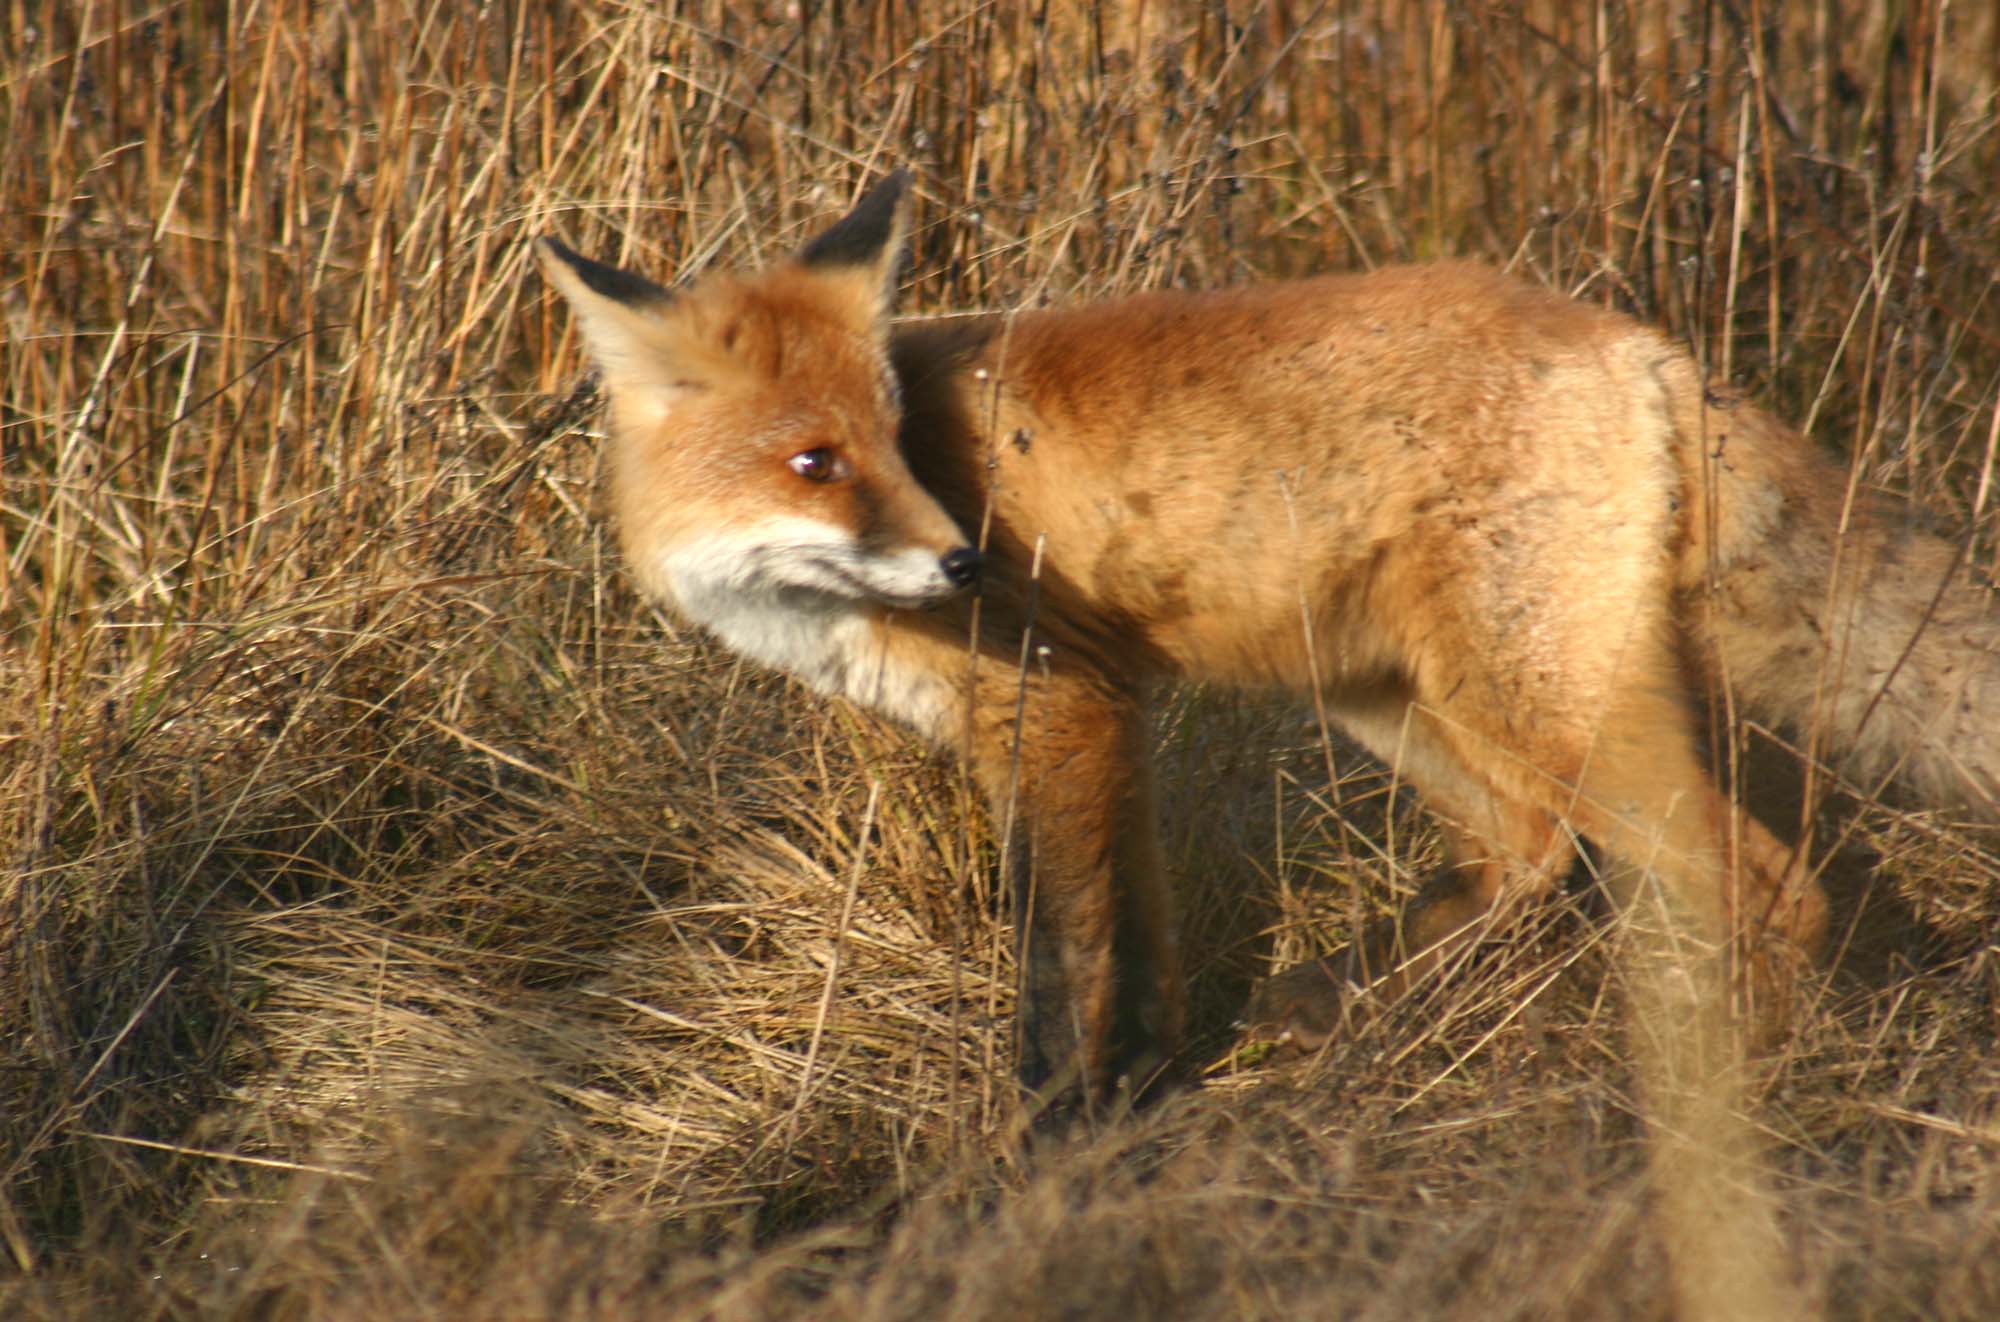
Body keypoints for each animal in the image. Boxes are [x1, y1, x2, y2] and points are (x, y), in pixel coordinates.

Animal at [532, 170, 2000, 1112]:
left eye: (895, 441)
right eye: (816, 461)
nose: (963, 561)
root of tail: (1640, 341)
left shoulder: (1052, 709)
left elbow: (1064, 956)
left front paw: (1044, 1135)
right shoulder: (1107, 712)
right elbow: (1142, 937)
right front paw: (1145, 1084)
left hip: (1530, 702)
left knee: (1760, 882)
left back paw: (1747, 1088)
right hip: (1395, 694)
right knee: (1526, 848)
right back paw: (1332, 1003)